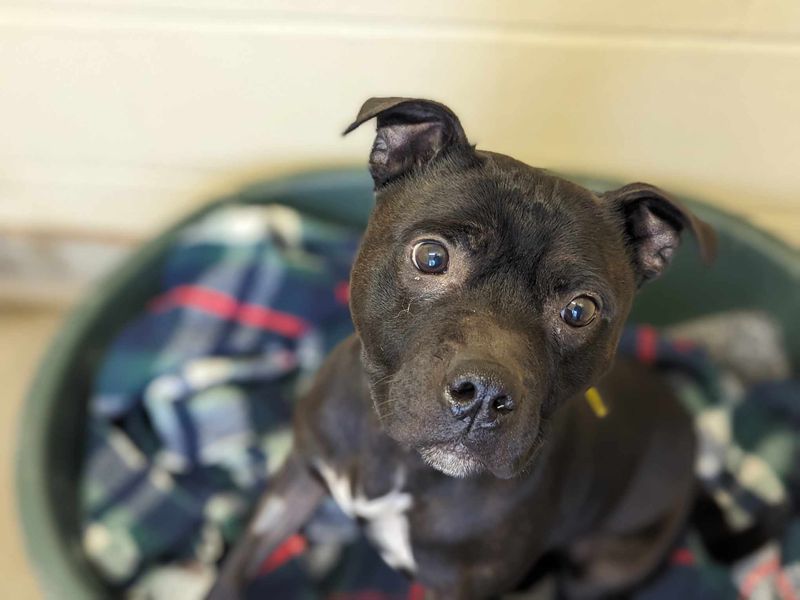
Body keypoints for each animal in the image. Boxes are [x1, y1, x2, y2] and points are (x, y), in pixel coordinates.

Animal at [206, 98, 712, 600]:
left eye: (579, 310)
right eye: (431, 257)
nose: (484, 394)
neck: (398, 459)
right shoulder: (295, 482)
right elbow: (240, 564)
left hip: (604, 566)